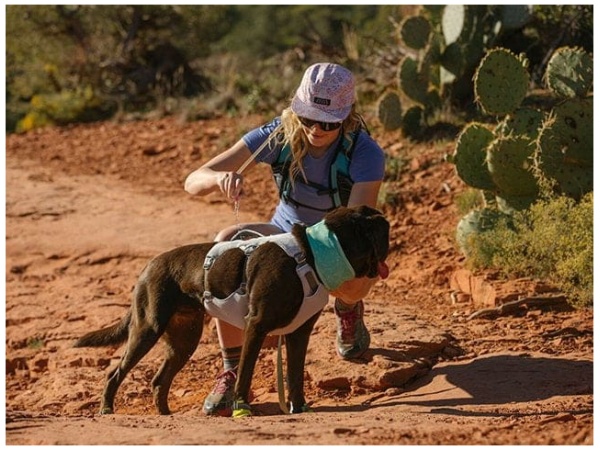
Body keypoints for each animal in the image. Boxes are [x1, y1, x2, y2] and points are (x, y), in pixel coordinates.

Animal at [74, 206, 390, 416]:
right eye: (375, 228)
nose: (386, 221)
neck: (308, 255)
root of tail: (148, 266)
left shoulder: (299, 333)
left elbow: (296, 374)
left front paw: (299, 407)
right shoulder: (256, 326)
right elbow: (245, 371)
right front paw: (241, 408)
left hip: (184, 340)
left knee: (158, 380)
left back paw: (165, 414)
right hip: (147, 328)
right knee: (114, 373)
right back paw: (106, 409)